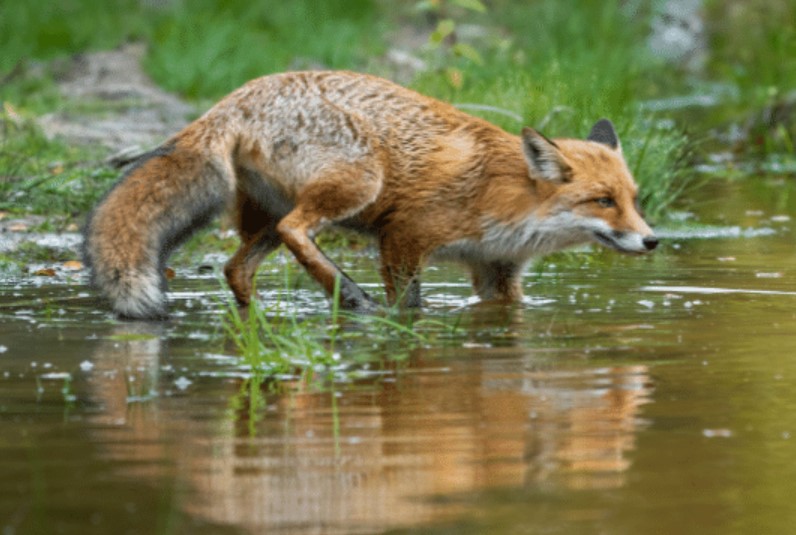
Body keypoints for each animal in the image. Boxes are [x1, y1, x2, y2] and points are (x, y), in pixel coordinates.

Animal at [84, 69, 660, 320]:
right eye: (603, 201)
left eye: (634, 199)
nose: (653, 241)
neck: (507, 202)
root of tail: (233, 99)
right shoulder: (404, 236)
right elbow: (409, 304)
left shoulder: (496, 273)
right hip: (360, 181)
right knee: (297, 231)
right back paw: (349, 294)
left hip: (265, 219)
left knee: (235, 267)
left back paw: (263, 316)